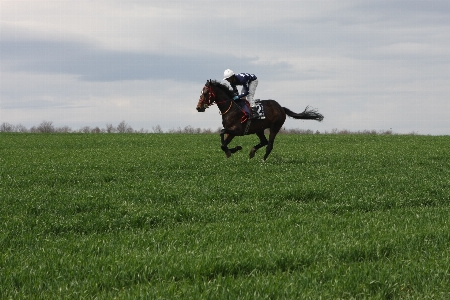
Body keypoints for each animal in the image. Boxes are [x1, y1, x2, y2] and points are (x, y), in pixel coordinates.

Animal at [196, 78, 324, 161]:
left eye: (206, 93)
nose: (198, 107)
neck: (232, 108)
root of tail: (281, 107)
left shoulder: (238, 131)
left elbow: (222, 132)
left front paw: (231, 151)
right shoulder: (231, 131)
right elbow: (223, 144)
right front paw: (234, 150)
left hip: (275, 127)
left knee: (269, 144)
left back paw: (263, 160)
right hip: (259, 129)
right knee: (264, 141)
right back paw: (252, 151)